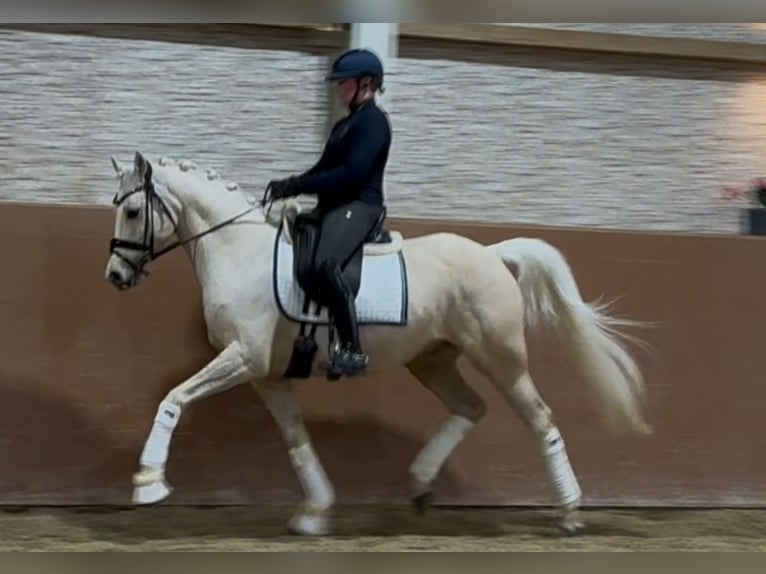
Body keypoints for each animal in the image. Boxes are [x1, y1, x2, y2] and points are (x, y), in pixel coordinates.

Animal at [105, 151, 652, 536]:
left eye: (132, 211)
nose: (115, 276)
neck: (239, 252)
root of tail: (493, 254)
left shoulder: (243, 358)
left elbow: (173, 398)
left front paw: (148, 484)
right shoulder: (267, 377)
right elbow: (295, 439)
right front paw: (315, 512)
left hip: (501, 359)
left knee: (541, 419)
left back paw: (569, 514)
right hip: (432, 361)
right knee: (470, 408)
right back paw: (421, 485)